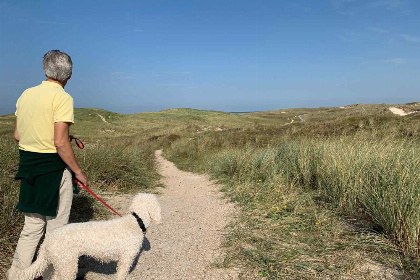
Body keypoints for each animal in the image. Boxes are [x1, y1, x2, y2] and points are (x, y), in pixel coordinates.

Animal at [8, 192, 162, 280]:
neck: (136, 220)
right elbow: (121, 274)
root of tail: (48, 240)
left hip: (61, 263)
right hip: (67, 264)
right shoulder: (126, 258)